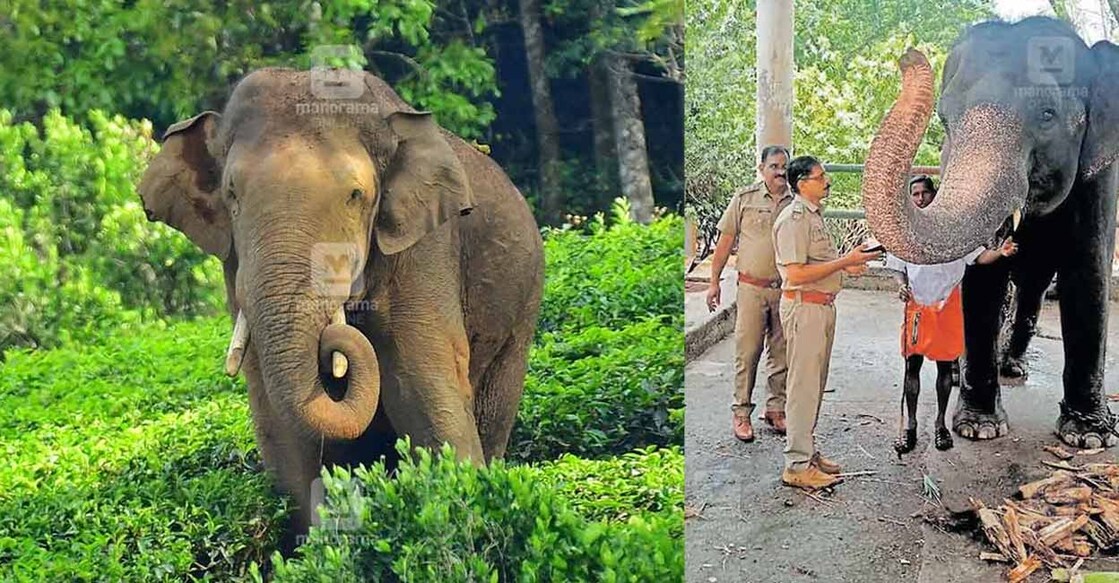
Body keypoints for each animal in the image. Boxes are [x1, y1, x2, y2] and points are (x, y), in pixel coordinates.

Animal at [137, 68, 544, 539]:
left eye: (355, 195)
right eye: (232, 194)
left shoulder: (423, 248)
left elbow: (421, 383)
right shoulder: (234, 260)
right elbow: (278, 416)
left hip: (521, 316)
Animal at [862, 17, 1119, 448]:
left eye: (1047, 114)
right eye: (944, 119)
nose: (907, 57)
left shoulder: (1099, 179)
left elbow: (1088, 274)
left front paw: (1088, 438)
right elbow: (980, 280)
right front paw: (979, 428)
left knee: (1033, 288)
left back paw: (1012, 366)